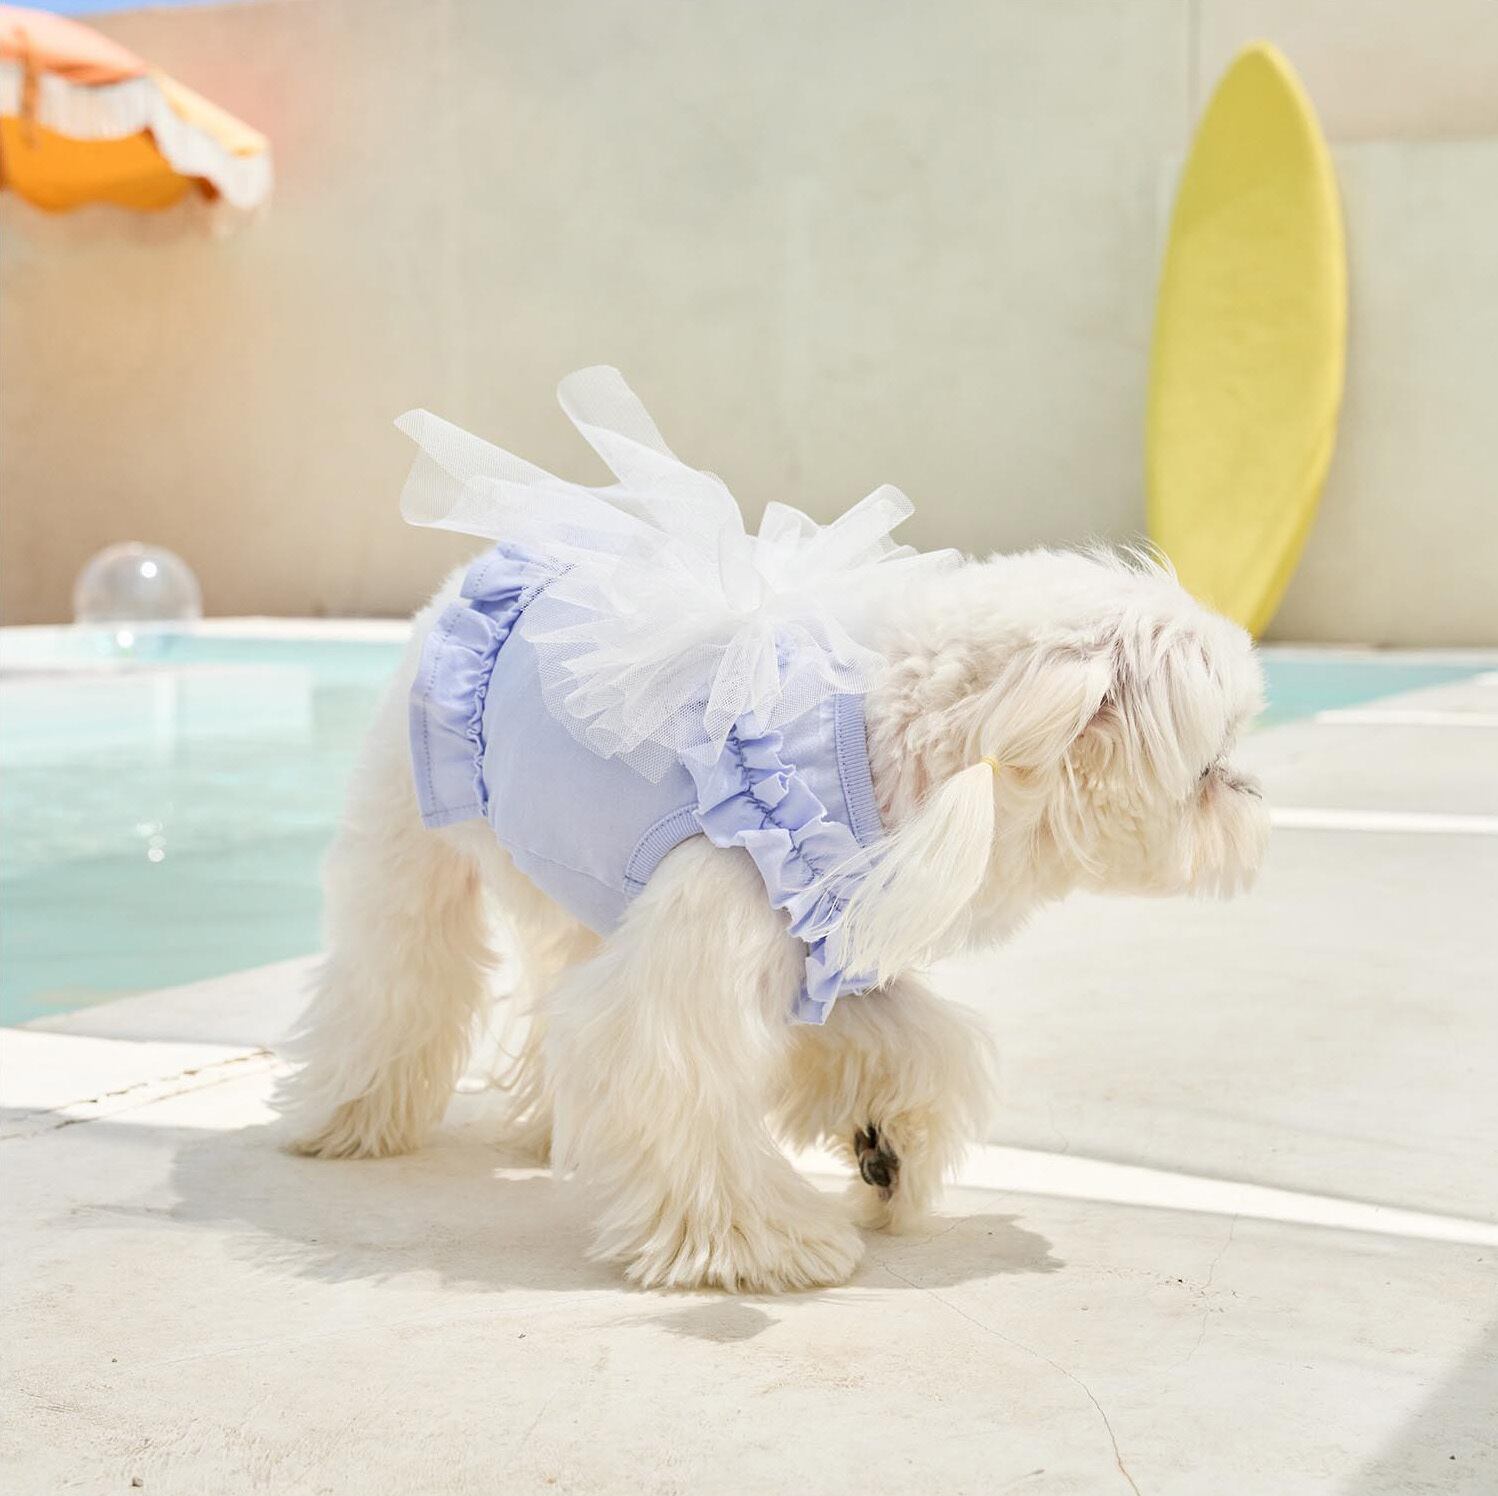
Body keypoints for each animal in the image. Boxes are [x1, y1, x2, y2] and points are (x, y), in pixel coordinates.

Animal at [278, 520, 1268, 1292]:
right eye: (1212, 766)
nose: (1256, 793)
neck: (880, 750)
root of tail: (481, 569)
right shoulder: (697, 966)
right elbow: (689, 1092)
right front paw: (758, 1246)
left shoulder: (826, 934)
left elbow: (919, 1043)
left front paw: (886, 1149)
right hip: (409, 841)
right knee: (396, 973)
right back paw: (351, 1120)